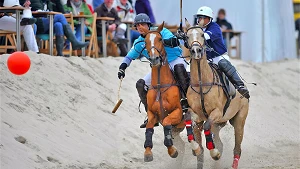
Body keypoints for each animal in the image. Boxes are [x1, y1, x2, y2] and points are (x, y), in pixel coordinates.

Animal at [141, 21, 202, 163]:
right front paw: (148, 152)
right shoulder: (152, 114)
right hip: (178, 127)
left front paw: (172, 150)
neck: (160, 86)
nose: (155, 59)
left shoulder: (178, 113)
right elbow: (149, 128)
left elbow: (167, 123)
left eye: (160, 39)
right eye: (145, 41)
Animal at [184, 17, 250, 169]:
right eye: (186, 36)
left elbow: (207, 127)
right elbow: (189, 120)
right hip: (220, 123)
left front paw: (214, 153)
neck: (201, 83)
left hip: (239, 120)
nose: (196, 51)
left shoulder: (217, 112)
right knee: (219, 142)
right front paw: (196, 148)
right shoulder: (197, 115)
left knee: (237, 148)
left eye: (202, 35)